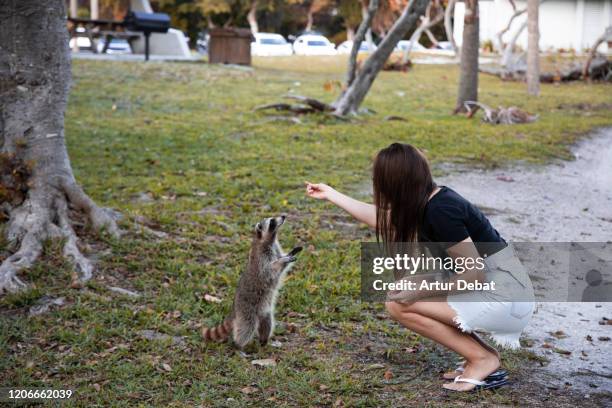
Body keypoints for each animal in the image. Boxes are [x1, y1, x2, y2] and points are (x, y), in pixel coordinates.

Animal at [202, 215, 302, 350]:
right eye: (272, 221)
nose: (284, 216)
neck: (269, 240)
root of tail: (235, 309)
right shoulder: (261, 257)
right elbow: (267, 271)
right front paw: (282, 260)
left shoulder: (275, 249)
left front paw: (291, 253)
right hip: (247, 310)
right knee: (247, 327)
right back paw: (238, 345)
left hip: (265, 312)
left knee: (267, 324)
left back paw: (264, 341)